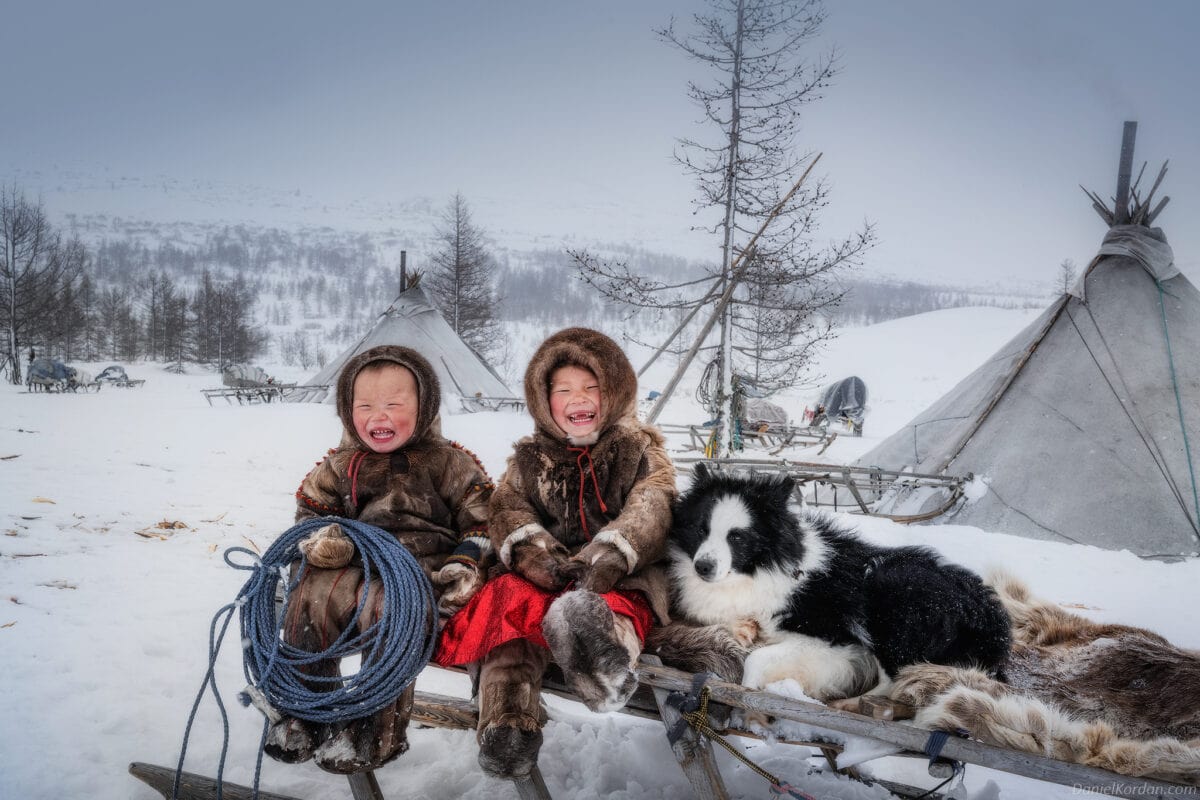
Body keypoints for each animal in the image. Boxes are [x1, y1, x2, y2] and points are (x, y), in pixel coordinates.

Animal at [672, 470, 1008, 700]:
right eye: (701, 529)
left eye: (737, 537)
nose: (703, 567)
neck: (757, 572)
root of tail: (990, 617)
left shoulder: (830, 639)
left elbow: (755, 659)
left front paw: (749, 690)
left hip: (891, 587)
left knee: (893, 682)